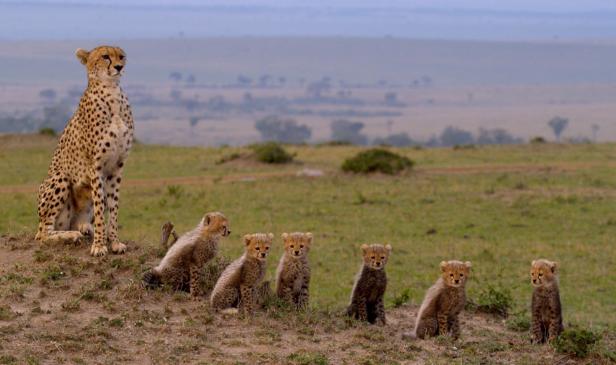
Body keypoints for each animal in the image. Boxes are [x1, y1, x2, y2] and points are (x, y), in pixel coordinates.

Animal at [36, 44, 134, 256]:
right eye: (105, 56)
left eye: (121, 56)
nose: (119, 67)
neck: (112, 92)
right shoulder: (95, 166)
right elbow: (100, 208)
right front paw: (99, 245)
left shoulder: (118, 165)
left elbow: (113, 207)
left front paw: (114, 242)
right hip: (60, 178)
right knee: (43, 234)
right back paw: (72, 235)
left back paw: (83, 227)